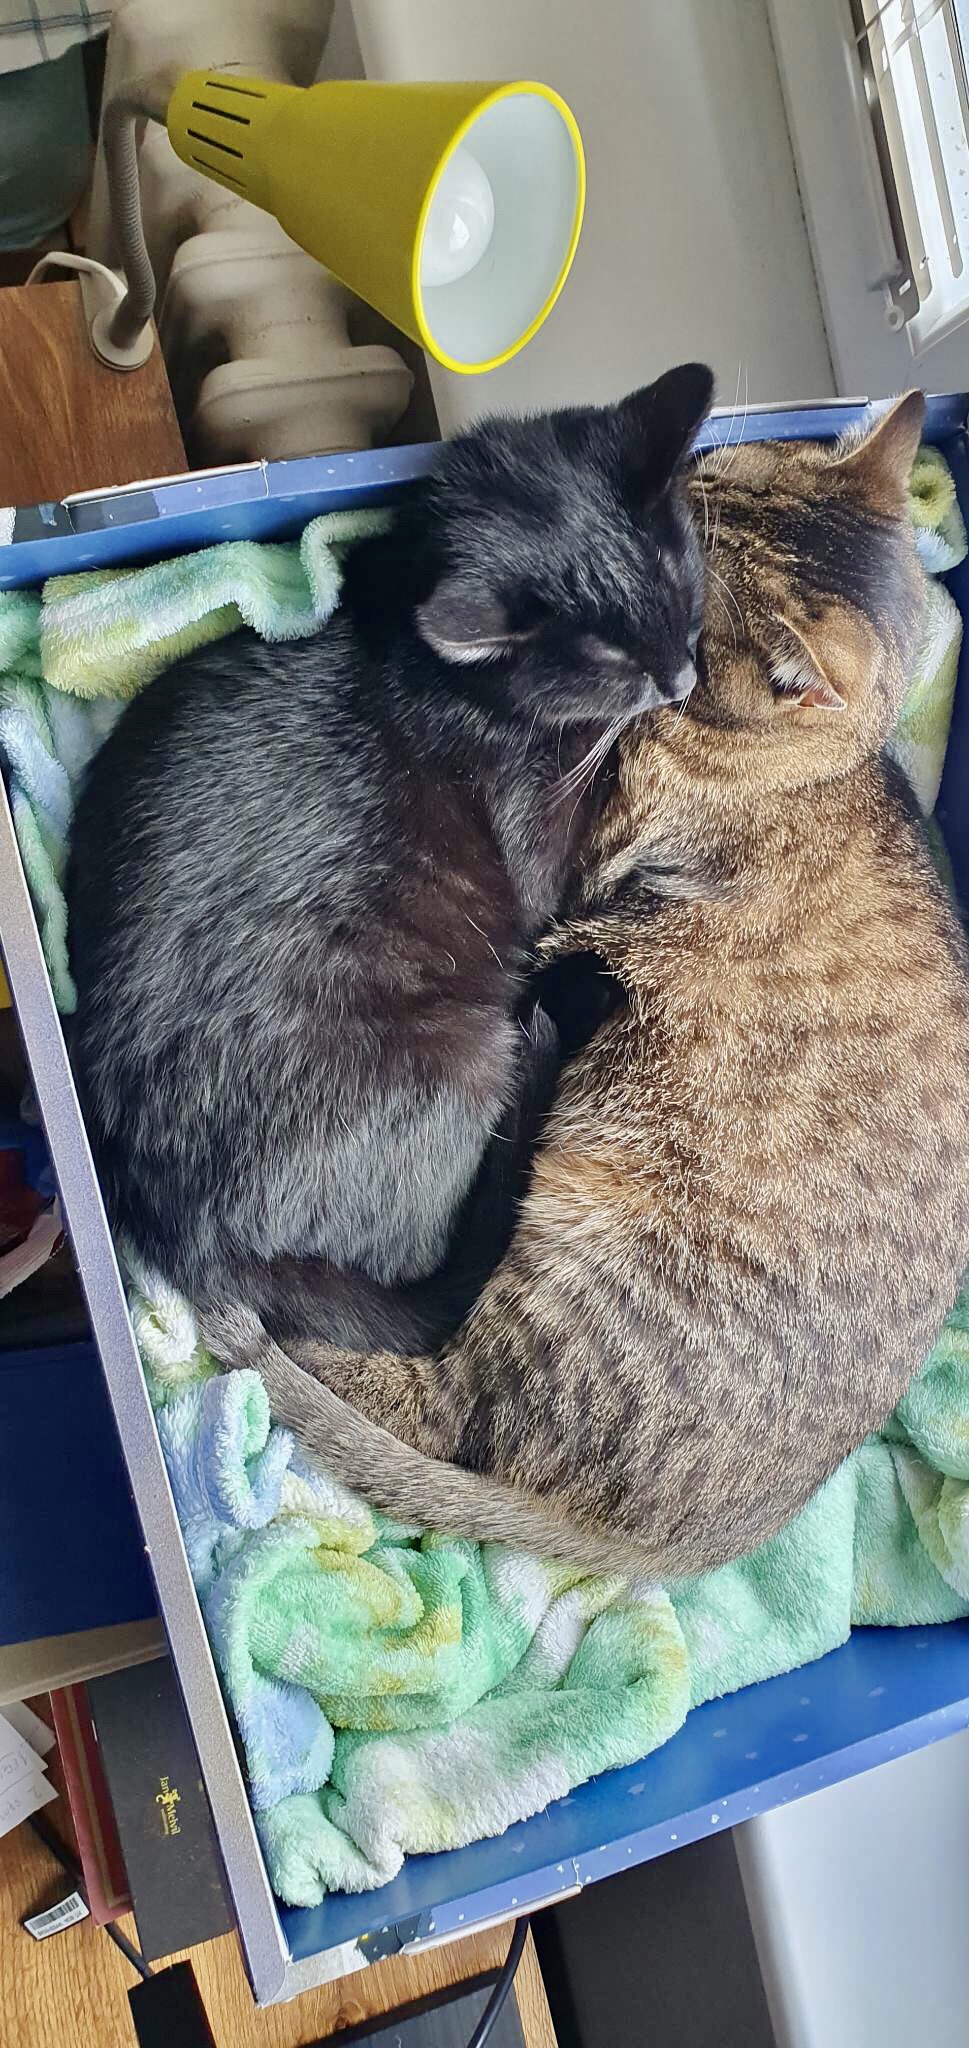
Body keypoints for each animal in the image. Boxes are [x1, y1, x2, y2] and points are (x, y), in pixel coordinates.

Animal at [67, 362, 713, 1354]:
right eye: (609, 663)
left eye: (680, 585)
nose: (681, 678)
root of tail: (199, 1252)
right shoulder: (542, 846)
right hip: (463, 1051)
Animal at [209, 391, 969, 1577]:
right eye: (712, 479)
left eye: (698, 608)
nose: (665, 478)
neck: (794, 761)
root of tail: (664, 1546)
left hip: (562, 1245)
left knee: (436, 1406)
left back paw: (271, 1349)